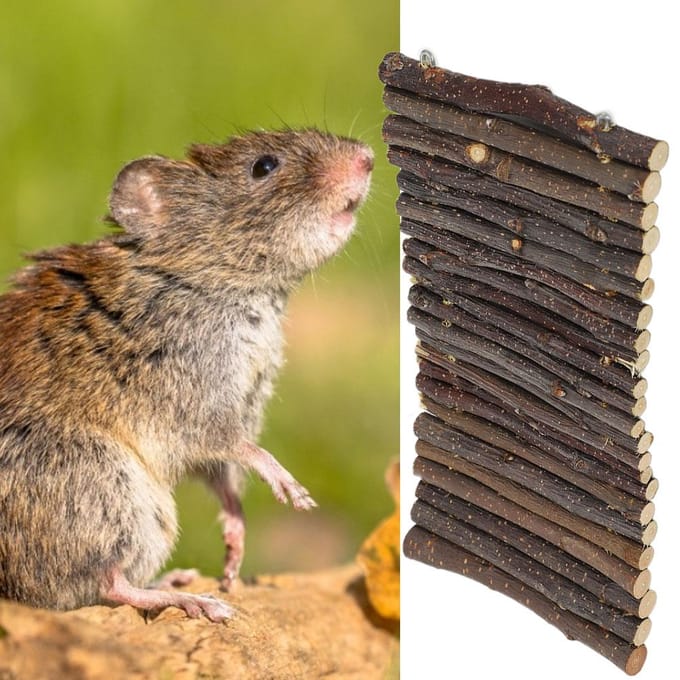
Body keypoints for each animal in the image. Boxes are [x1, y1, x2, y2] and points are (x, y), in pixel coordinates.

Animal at [0, 128, 373, 621]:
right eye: (263, 167)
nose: (368, 157)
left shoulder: (242, 401)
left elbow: (225, 481)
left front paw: (234, 555)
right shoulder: (196, 396)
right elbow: (242, 448)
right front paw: (291, 488)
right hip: (105, 483)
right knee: (109, 580)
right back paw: (195, 600)